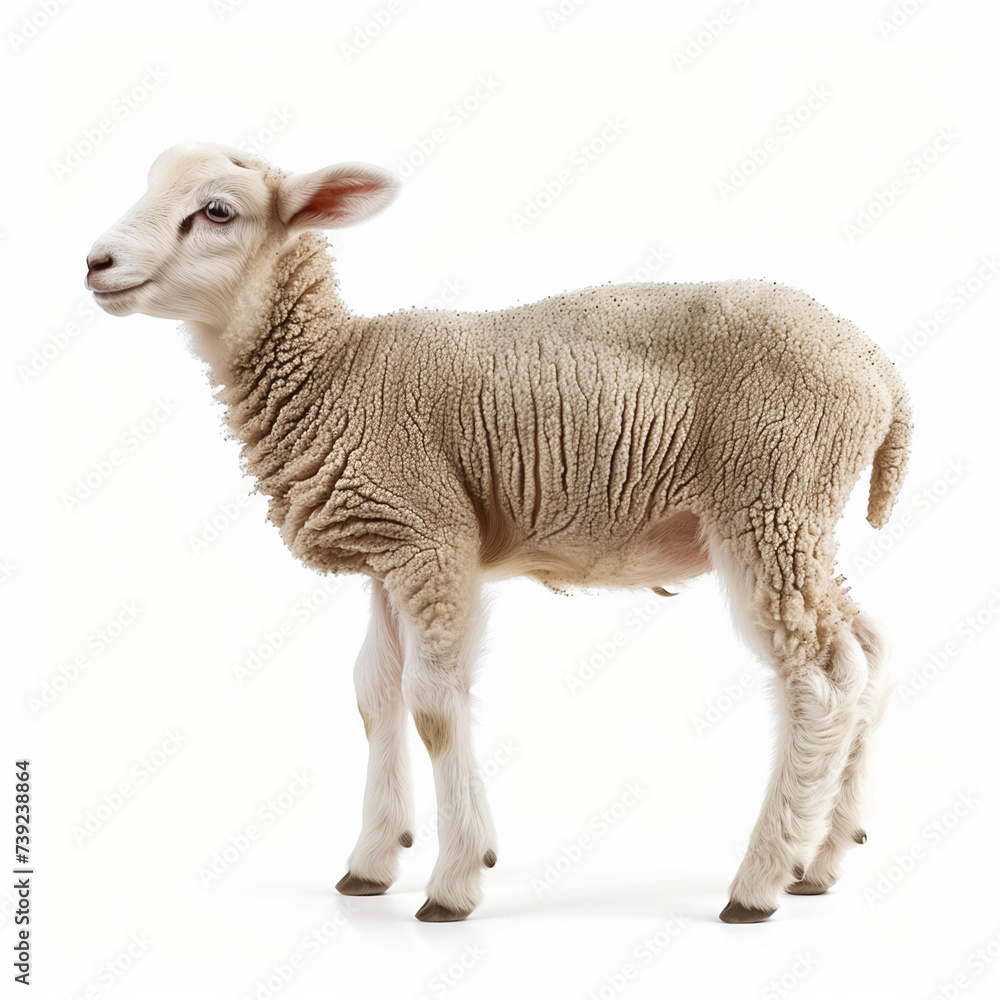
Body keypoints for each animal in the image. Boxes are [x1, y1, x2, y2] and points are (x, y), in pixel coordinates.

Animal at [85, 142, 912, 924]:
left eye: (218, 211)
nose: (95, 263)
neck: (339, 371)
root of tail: (882, 373)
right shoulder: (388, 550)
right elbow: (373, 692)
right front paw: (373, 862)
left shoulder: (432, 534)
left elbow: (432, 701)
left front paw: (455, 880)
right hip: (803, 519)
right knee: (867, 651)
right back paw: (823, 858)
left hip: (769, 495)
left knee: (822, 680)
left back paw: (761, 881)